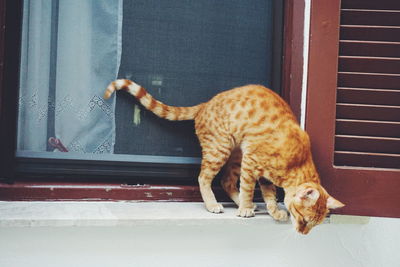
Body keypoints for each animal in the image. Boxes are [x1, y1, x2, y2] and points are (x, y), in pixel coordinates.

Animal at [103, 79, 344, 234]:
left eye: (312, 224)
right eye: (303, 219)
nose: (303, 234)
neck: (298, 161)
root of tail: (205, 104)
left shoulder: (262, 174)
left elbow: (269, 195)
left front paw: (274, 212)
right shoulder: (252, 162)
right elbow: (248, 188)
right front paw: (245, 208)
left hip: (235, 154)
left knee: (227, 181)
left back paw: (243, 205)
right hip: (221, 149)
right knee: (205, 178)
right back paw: (215, 205)